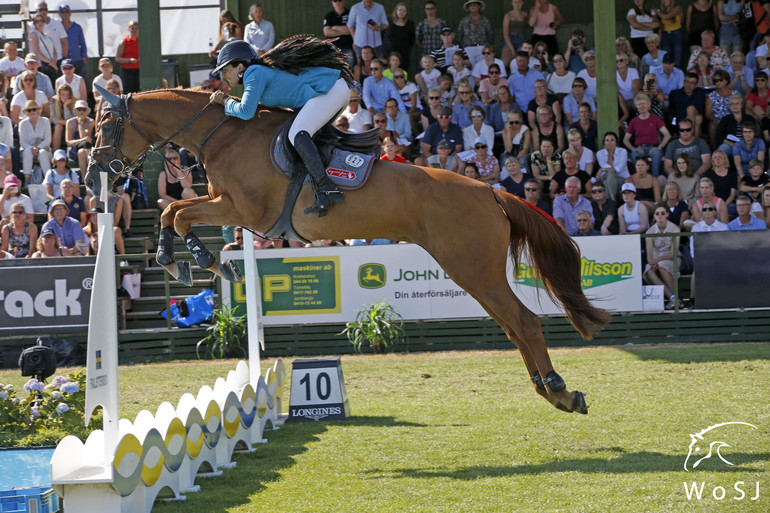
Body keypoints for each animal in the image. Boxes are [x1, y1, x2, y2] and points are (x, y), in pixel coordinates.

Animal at [87, 88, 608, 414]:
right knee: (513, 325)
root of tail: (489, 191)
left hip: (474, 268)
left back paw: (561, 393)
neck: (225, 134)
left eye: (107, 124)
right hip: (471, 272)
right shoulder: (225, 206)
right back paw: (549, 391)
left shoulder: (241, 209)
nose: (93, 172)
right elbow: (174, 211)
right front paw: (179, 259)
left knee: (525, 322)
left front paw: (201, 260)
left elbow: (178, 213)